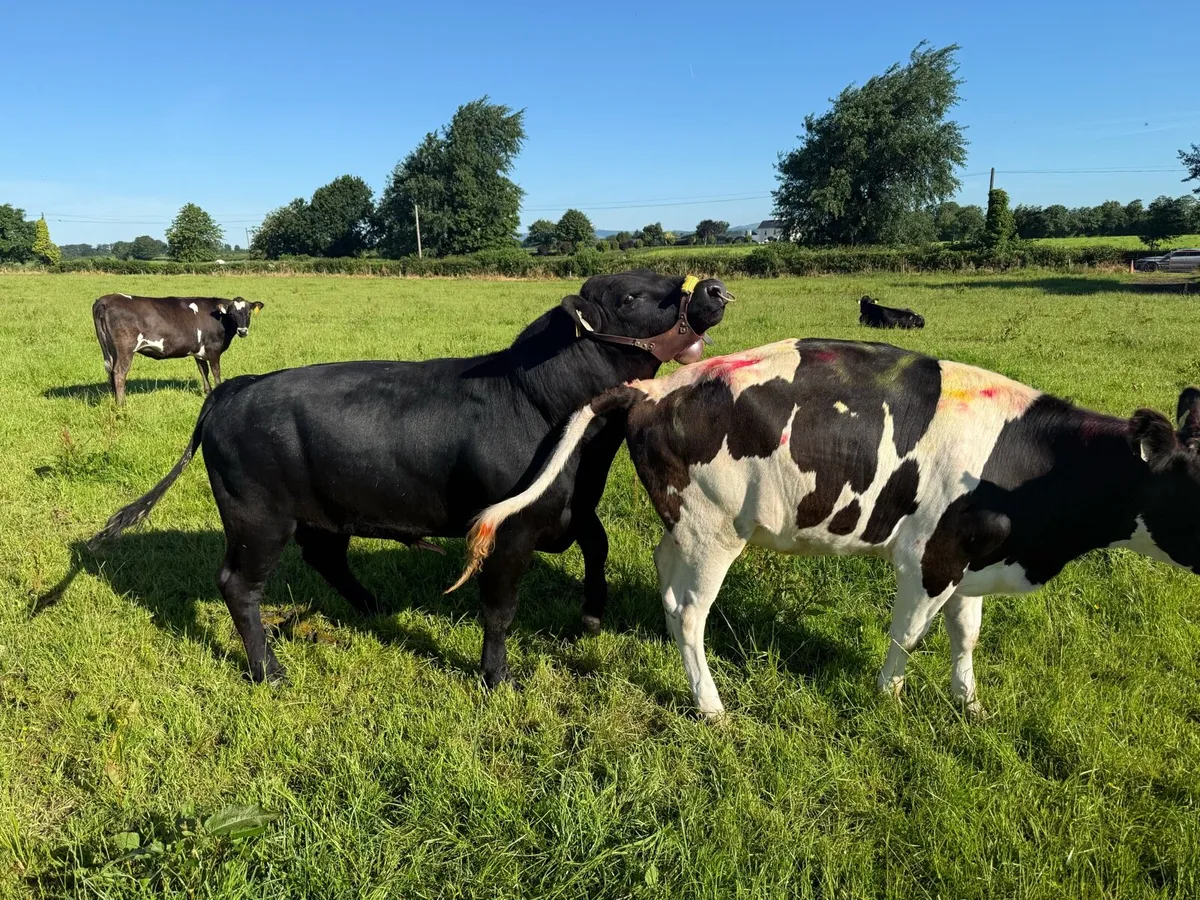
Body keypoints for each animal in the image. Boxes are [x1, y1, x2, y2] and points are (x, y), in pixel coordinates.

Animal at [92, 294, 265, 405]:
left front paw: (207, 392)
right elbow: (216, 372)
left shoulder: (199, 352)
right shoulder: (213, 349)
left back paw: (115, 399)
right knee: (119, 372)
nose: (242, 331)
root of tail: (105, 300)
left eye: (248, 312)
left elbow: (203, 371)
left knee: (111, 371)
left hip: (109, 350)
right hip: (125, 349)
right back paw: (122, 404)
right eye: (232, 313)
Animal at [452, 338, 1200, 718]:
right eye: (1196, 483)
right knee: (690, 612)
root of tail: (655, 387)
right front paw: (887, 700)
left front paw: (969, 705)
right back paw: (710, 705)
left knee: (667, 586)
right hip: (715, 531)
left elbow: (965, 636)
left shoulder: (972, 557)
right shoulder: (927, 556)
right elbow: (908, 635)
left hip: (686, 525)